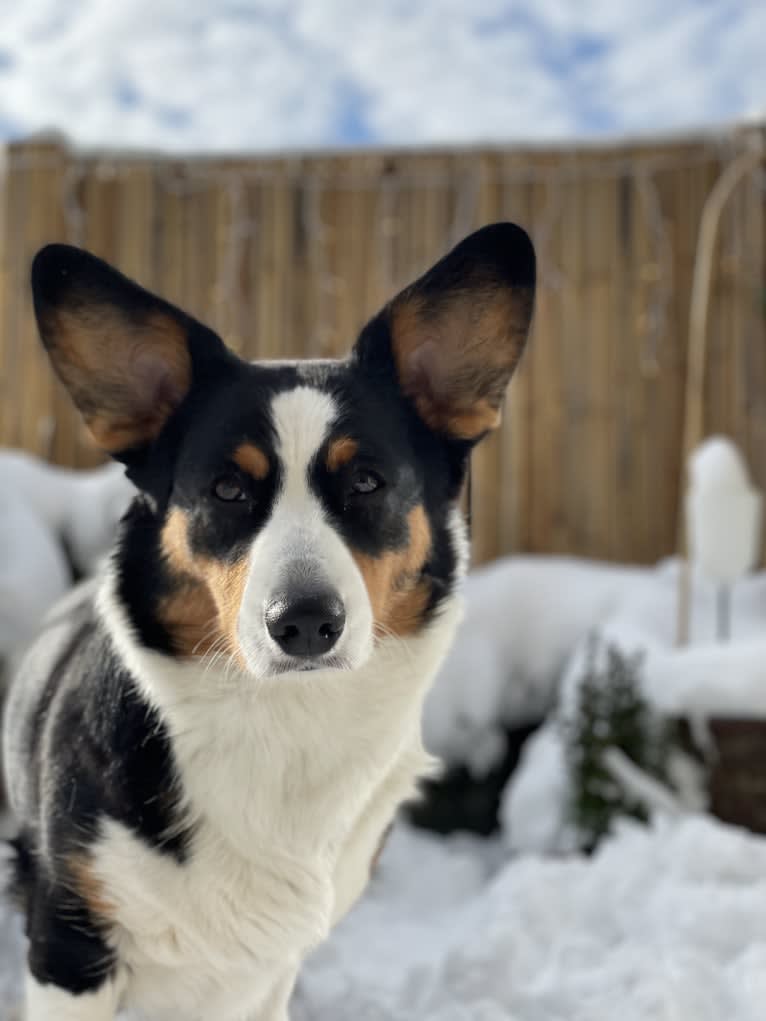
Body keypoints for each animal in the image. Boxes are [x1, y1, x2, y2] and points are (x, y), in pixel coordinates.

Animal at [3, 225, 535, 1021]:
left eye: (367, 481)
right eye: (228, 488)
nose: (307, 624)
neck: (281, 718)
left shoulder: (268, 972)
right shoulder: (70, 946)